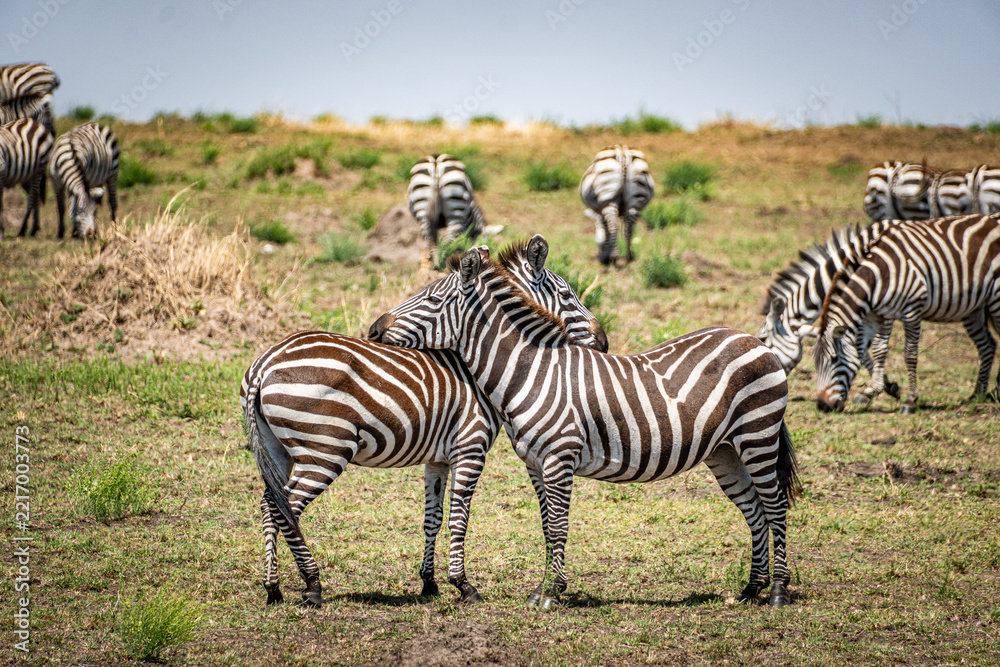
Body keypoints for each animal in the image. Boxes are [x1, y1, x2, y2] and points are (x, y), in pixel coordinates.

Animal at [241, 236, 608, 608]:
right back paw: (312, 583)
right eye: (568, 294)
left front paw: (429, 583)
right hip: (324, 449)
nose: (604, 341)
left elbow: (433, 519)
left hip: (278, 450)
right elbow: (459, 519)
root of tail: (264, 362)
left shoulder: (438, 458)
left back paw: (273, 587)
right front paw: (463, 585)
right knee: (285, 509)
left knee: (269, 504)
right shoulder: (470, 448)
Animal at [369, 243, 799, 610]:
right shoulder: (535, 463)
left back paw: (778, 592)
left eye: (431, 300)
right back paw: (751, 589)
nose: (373, 330)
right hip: (724, 450)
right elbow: (546, 524)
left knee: (775, 506)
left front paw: (552, 594)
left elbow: (559, 525)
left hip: (758, 435)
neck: (530, 372)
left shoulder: (560, 457)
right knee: (754, 509)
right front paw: (543, 590)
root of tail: (753, 340)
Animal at [814, 214, 1000, 414]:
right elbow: (876, 350)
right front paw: (871, 392)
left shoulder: (912, 310)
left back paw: (996, 392)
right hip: (972, 308)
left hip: (996, 296)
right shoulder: (878, 315)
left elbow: (910, 354)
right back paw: (977, 394)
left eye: (834, 359)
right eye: (816, 362)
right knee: (987, 345)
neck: (880, 275)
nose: (823, 406)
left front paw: (910, 401)